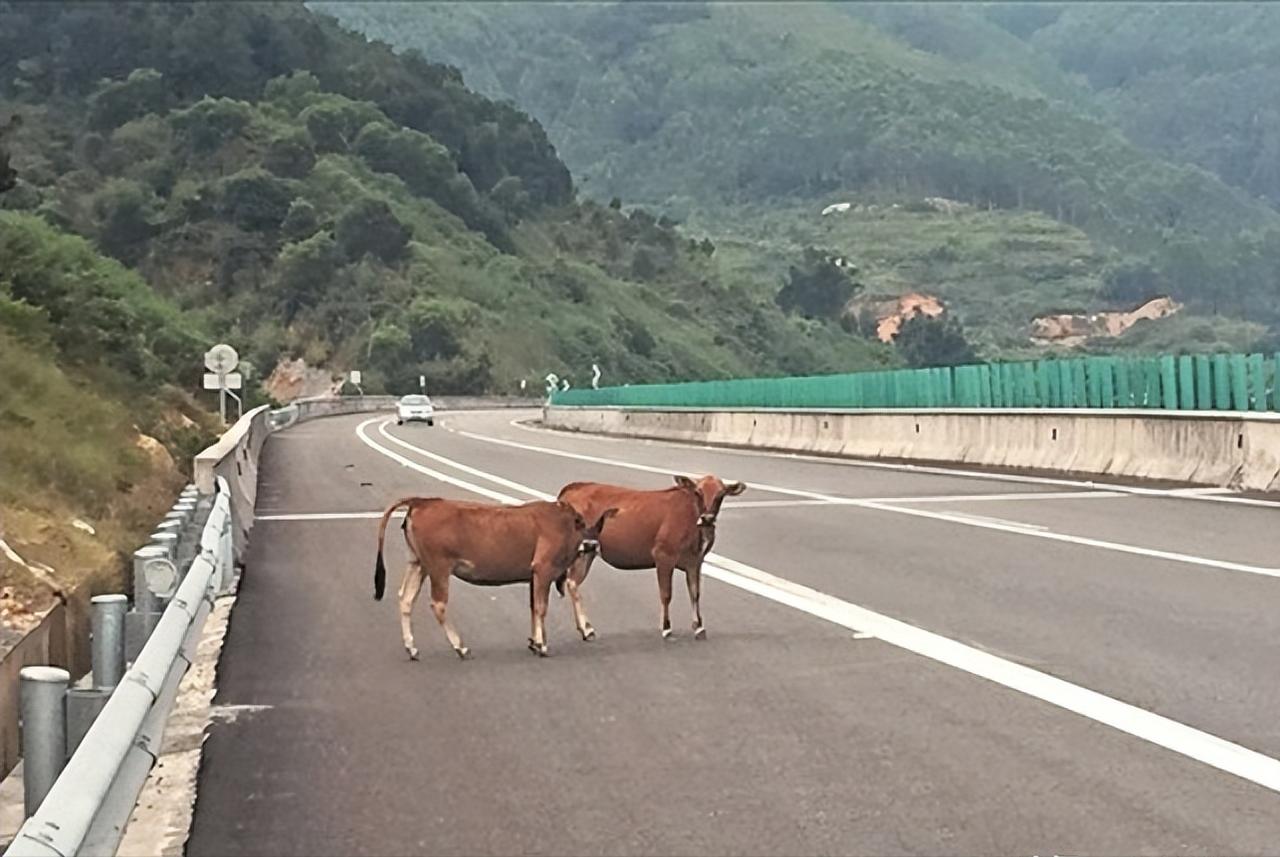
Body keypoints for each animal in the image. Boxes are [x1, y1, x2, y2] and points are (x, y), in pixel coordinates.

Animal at [373, 501, 616, 660]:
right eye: (588, 543)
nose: (593, 546)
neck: (565, 524)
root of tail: (421, 502)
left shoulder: (534, 576)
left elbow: (533, 607)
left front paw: (534, 642)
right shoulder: (543, 569)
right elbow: (541, 607)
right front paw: (542, 644)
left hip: (418, 564)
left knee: (405, 599)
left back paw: (412, 648)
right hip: (438, 567)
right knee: (438, 604)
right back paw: (460, 647)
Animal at [555, 480, 747, 642]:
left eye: (721, 494)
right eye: (698, 492)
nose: (707, 518)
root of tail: (573, 487)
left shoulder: (695, 561)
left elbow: (695, 593)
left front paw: (699, 627)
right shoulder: (663, 556)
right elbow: (666, 594)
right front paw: (666, 628)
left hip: (588, 552)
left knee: (572, 582)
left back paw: (584, 629)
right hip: (581, 552)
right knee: (572, 583)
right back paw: (587, 629)